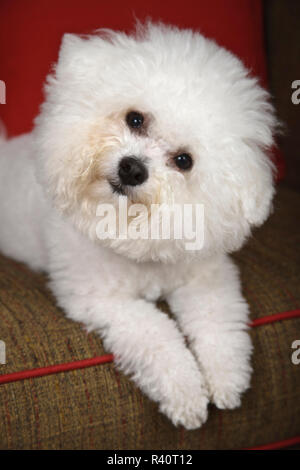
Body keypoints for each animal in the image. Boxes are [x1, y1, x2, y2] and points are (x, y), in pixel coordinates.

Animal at [0, 23, 276, 430]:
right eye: (135, 119)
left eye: (184, 160)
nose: (132, 168)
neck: (130, 229)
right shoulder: (106, 301)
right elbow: (158, 335)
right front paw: (187, 394)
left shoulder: (207, 278)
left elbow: (220, 323)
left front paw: (226, 379)